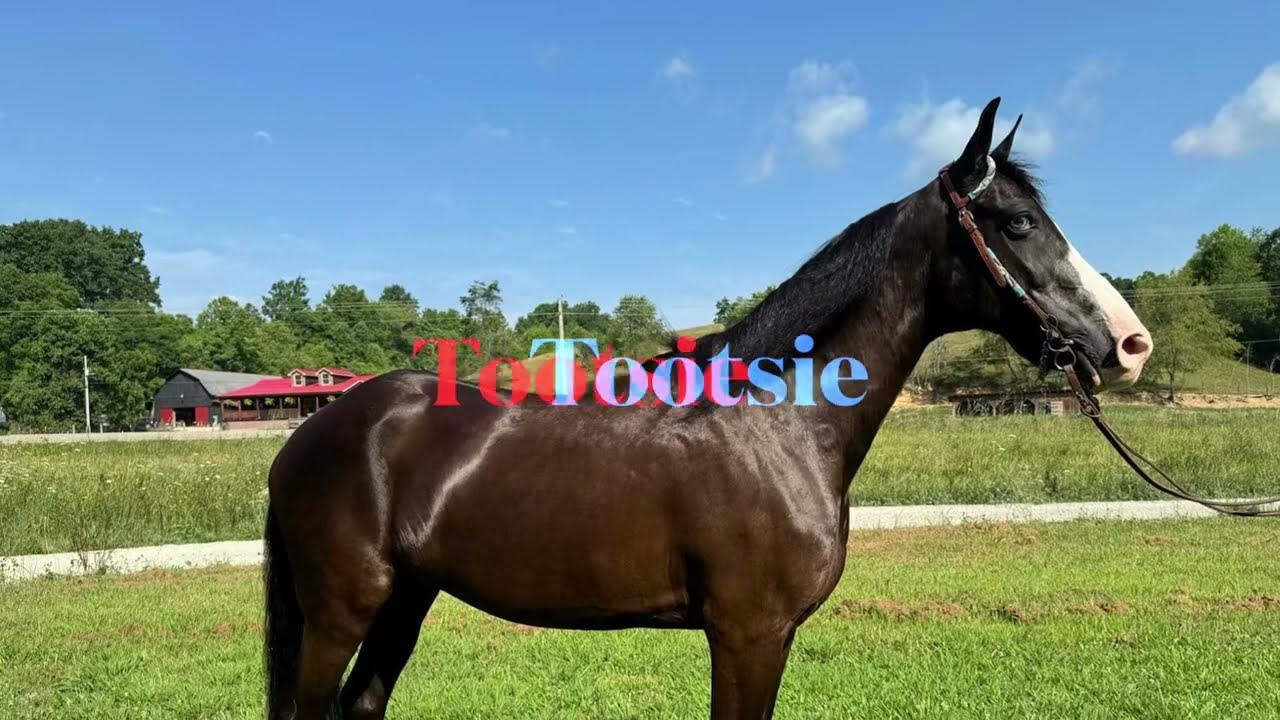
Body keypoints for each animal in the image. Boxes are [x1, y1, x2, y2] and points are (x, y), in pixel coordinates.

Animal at [262, 96, 1153, 720]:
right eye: (1019, 222)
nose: (1129, 343)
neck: (781, 426)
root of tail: (311, 433)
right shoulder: (748, 633)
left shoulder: (764, 635)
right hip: (340, 611)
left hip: (404, 601)